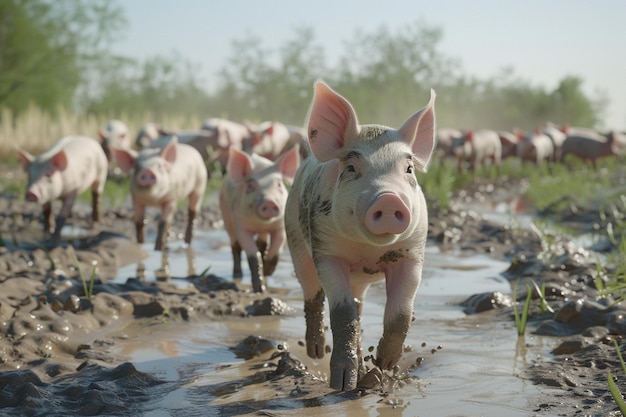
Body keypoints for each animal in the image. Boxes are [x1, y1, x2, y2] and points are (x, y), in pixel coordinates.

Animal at [218, 146, 298, 292]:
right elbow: (252, 255)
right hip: (226, 216)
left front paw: (268, 272)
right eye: (250, 186)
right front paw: (260, 290)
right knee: (235, 246)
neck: (260, 223)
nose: (269, 202)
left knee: (262, 244)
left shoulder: (280, 225)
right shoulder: (240, 225)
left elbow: (276, 250)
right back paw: (237, 274)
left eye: (279, 184)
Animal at [282, 82, 434, 390]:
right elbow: (342, 313)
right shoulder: (326, 251)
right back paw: (315, 351)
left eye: (409, 169)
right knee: (311, 292)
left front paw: (385, 366)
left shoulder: (413, 253)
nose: (388, 198)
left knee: (359, 307)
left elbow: (401, 312)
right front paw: (342, 385)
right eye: (351, 168)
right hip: (295, 239)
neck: (368, 252)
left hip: (359, 282)